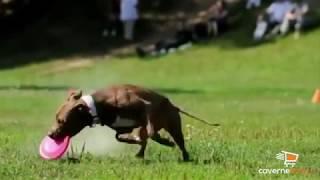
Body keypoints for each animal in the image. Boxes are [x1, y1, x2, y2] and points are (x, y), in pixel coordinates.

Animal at [48, 83, 219, 161]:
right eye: (56, 117)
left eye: (61, 120)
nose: (50, 134)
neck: (98, 106)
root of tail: (173, 106)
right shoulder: (123, 128)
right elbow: (120, 137)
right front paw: (134, 141)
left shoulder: (146, 106)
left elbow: (151, 132)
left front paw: (164, 141)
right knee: (145, 139)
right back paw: (140, 153)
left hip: (174, 127)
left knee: (179, 144)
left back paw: (183, 155)